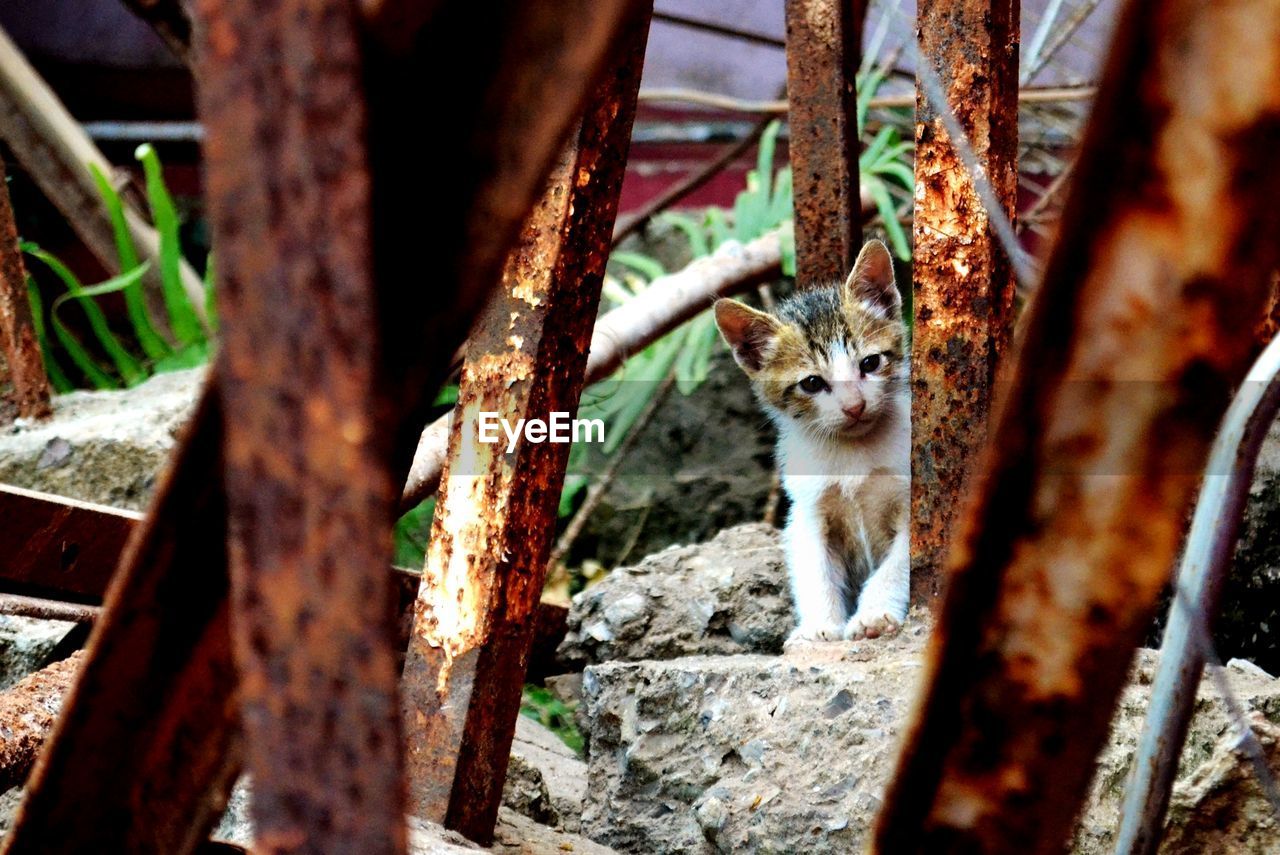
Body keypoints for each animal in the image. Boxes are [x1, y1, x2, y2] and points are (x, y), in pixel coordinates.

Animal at [711, 240, 911, 639]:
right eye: (812, 383)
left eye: (870, 363)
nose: (855, 406)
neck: (854, 452)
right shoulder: (808, 511)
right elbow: (813, 568)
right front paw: (820, 624)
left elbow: (898, 562)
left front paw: (874, 613)